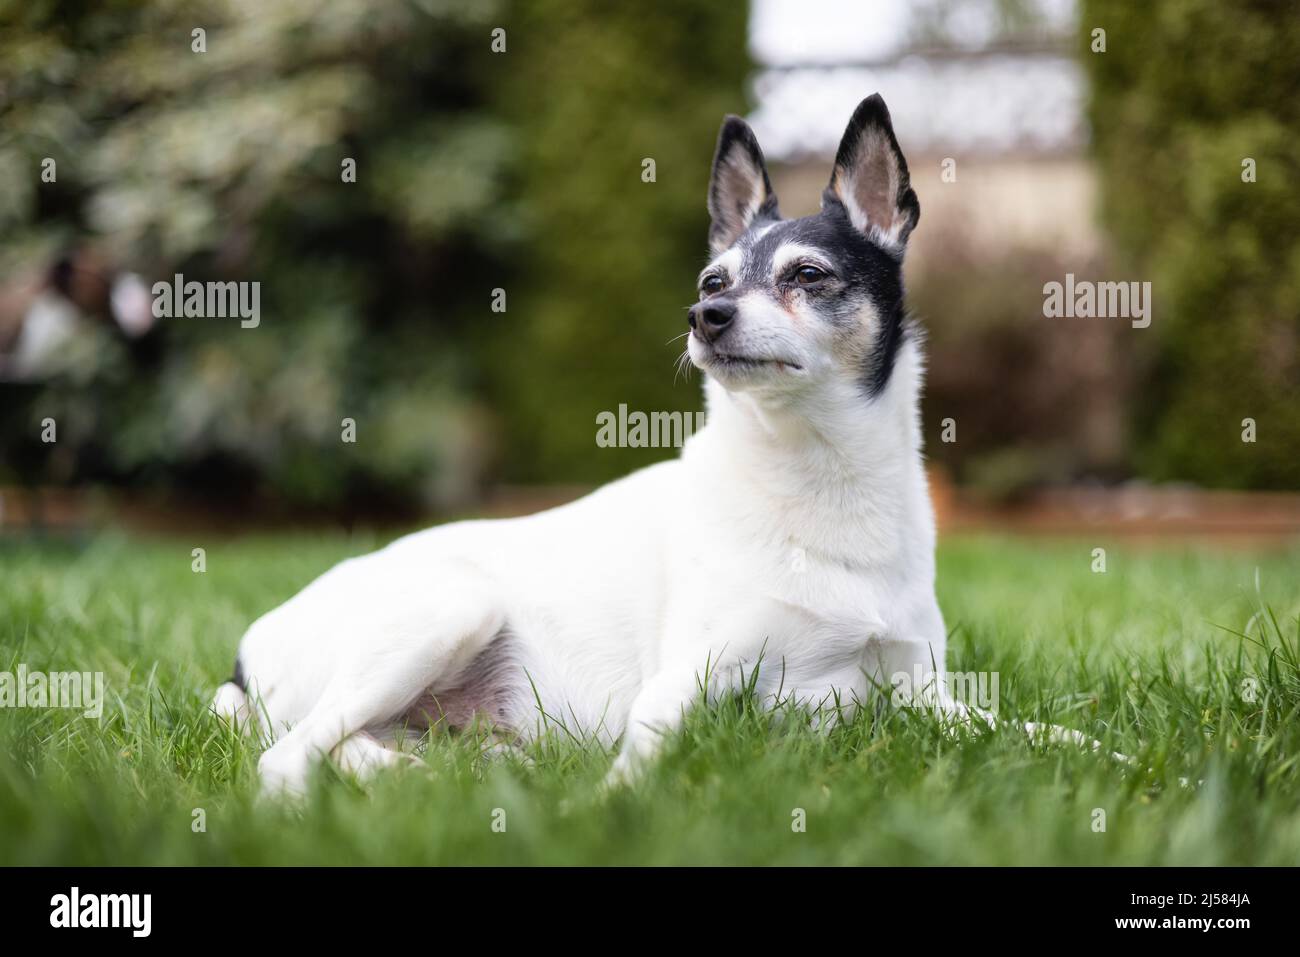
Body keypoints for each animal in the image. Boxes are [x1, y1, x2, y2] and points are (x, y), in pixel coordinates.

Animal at [215, 93, 967, 790]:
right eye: (711, 281)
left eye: (807, 275)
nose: (704, 315)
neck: (816, 472)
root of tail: (247, 653)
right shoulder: (692, 681)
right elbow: (648, 749)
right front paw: (611, 804)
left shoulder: (925, 691)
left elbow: (995, 727)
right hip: (452, 608)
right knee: (288, 757)